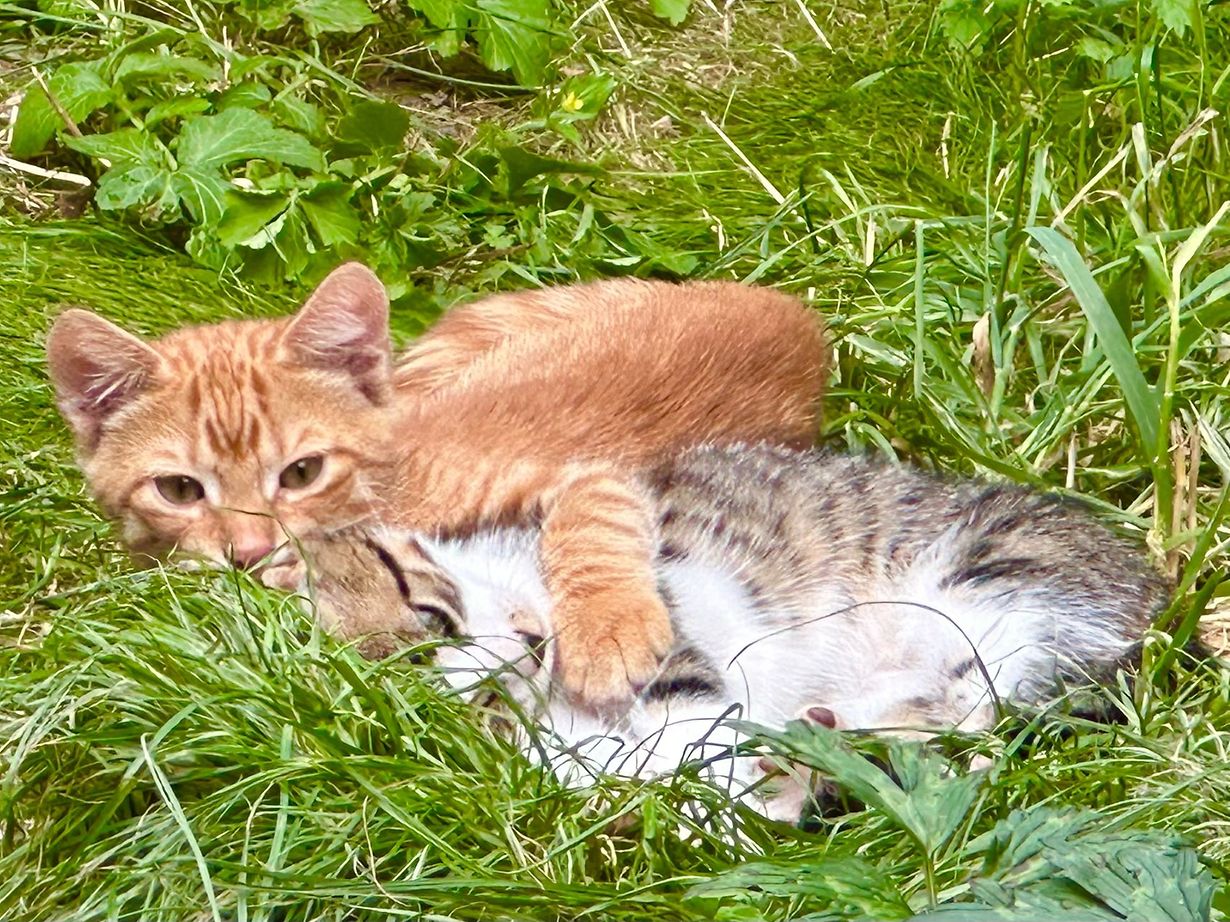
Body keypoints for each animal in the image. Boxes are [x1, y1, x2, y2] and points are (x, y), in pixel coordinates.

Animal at [45, 265, 828, 707]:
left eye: (301, 473)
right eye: (179, 491)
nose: (249, 550)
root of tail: (798, 318)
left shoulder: (581, 471)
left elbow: (593, 514)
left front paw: (607, 628)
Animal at [266, 442, 1171, 823]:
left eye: (432, 613)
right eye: (470, 696)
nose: (528, 643)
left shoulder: (656, 619)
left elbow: (690, 723)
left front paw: (725, 810)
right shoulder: (561, 759)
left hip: (993, 582)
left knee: (992, 707)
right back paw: (827, 746)